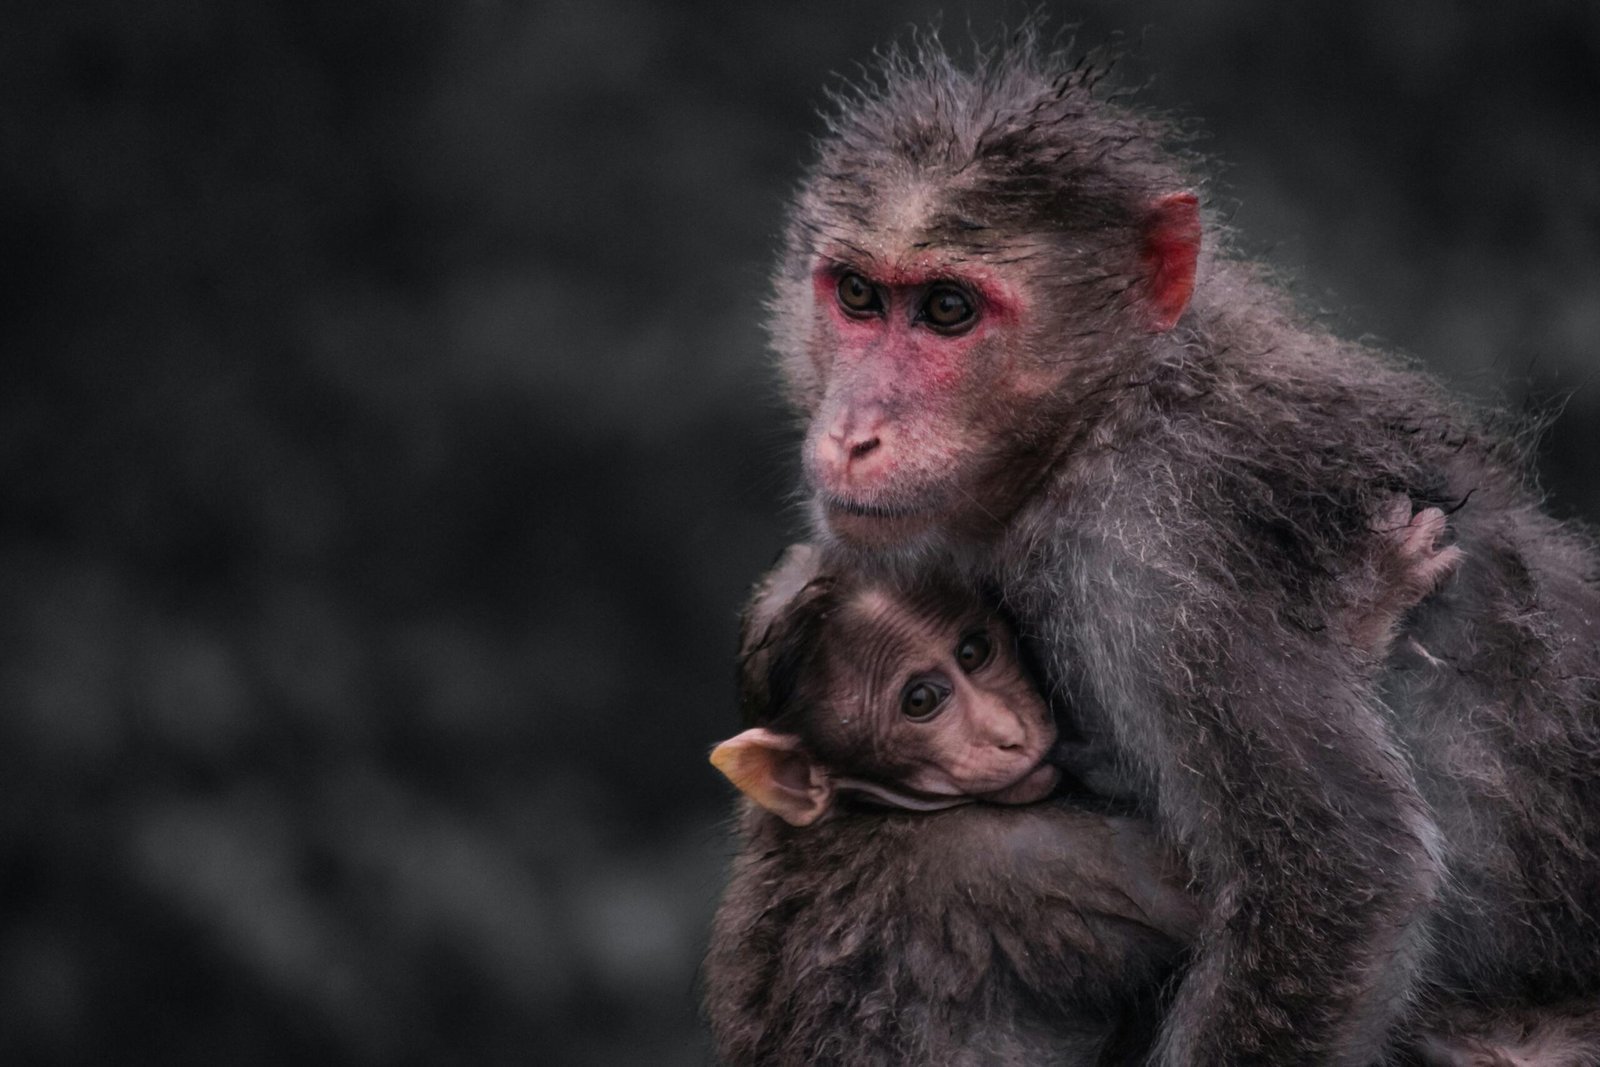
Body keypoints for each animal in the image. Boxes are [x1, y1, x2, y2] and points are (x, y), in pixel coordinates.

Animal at [766, 34, 1600, 1066]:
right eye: (857, 295)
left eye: (949, 310)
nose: (854, 436)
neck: (1102, 410)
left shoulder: (1154, 553)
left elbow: (1338, 880)